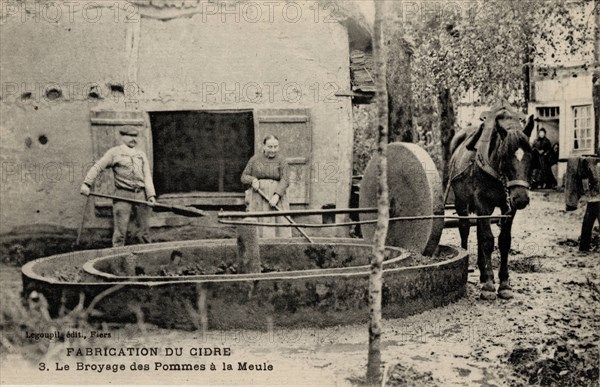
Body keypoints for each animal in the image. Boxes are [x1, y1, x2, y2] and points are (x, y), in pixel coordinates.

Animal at [448, 104, 536, 302]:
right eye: (505, 156)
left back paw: (482, 271)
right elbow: (487, 240)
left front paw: (504, 283)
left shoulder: (508, 207)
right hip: (461, 202)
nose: (521, 199)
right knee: (465, 229)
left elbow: (503, 241)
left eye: (531, 156)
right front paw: (489, 285)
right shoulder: (482, 202)